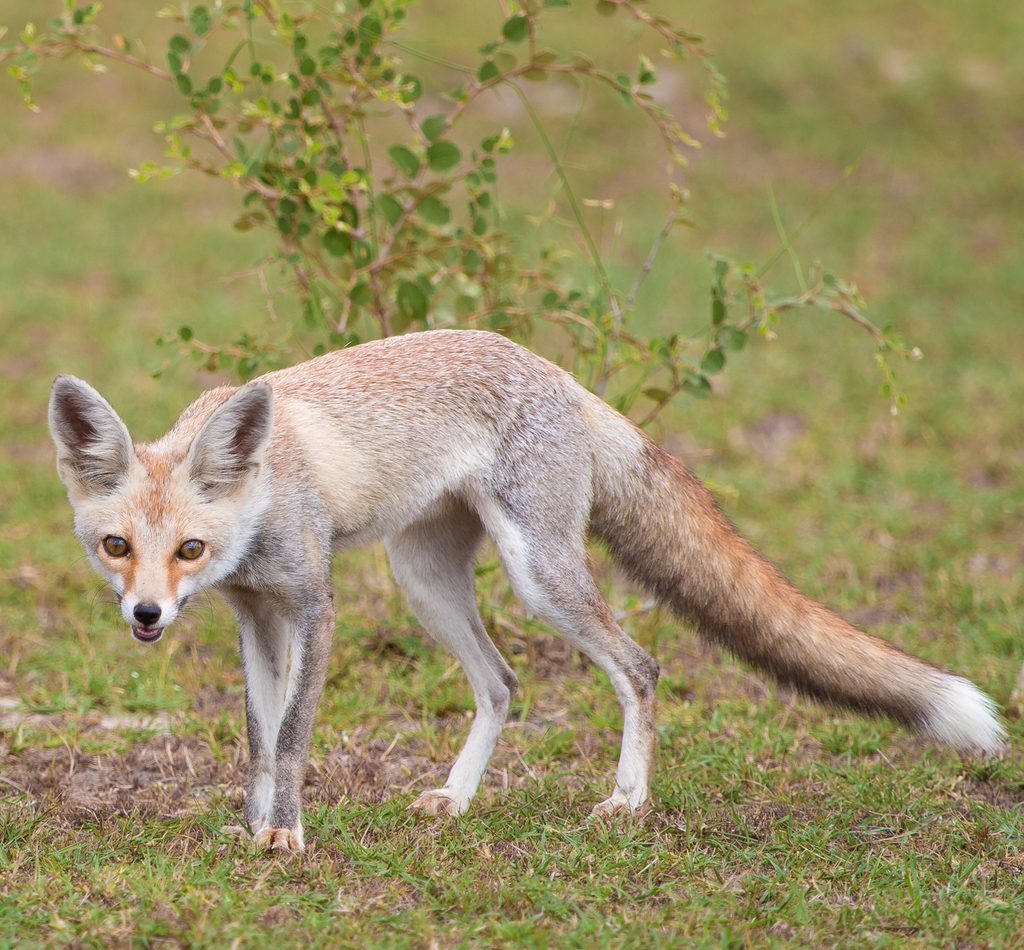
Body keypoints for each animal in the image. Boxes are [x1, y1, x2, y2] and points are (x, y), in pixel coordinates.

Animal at [48, 328, 1004, 852]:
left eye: (189, 549)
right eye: (118, 547)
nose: (146, 614)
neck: (262, 498)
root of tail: (557, 372)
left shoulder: (313, 606)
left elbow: (290, 739)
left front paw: (284, 834)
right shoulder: (257, 617)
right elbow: (257, 736)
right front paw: (252, 827)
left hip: (539, 577)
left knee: (642, 667)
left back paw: (628, 801)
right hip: (424, 580)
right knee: (504, 683)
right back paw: (459, 799)